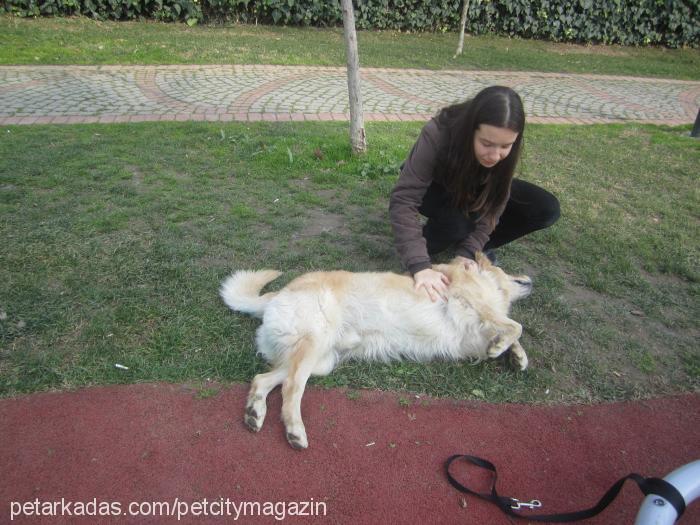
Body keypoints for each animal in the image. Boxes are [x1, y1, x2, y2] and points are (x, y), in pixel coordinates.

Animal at [221, 252, 532, 448]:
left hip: (320, 360)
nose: (530, 278)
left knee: (264, 379)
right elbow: (515, 326)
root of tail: (276, 294)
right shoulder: (471, 301)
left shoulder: (471, 338)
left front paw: (516, 356)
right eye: (509, 270)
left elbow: (507, 331)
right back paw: (294, 430)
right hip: (314, 344)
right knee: (291, 388)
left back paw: (254, 412)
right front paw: (502, 347)